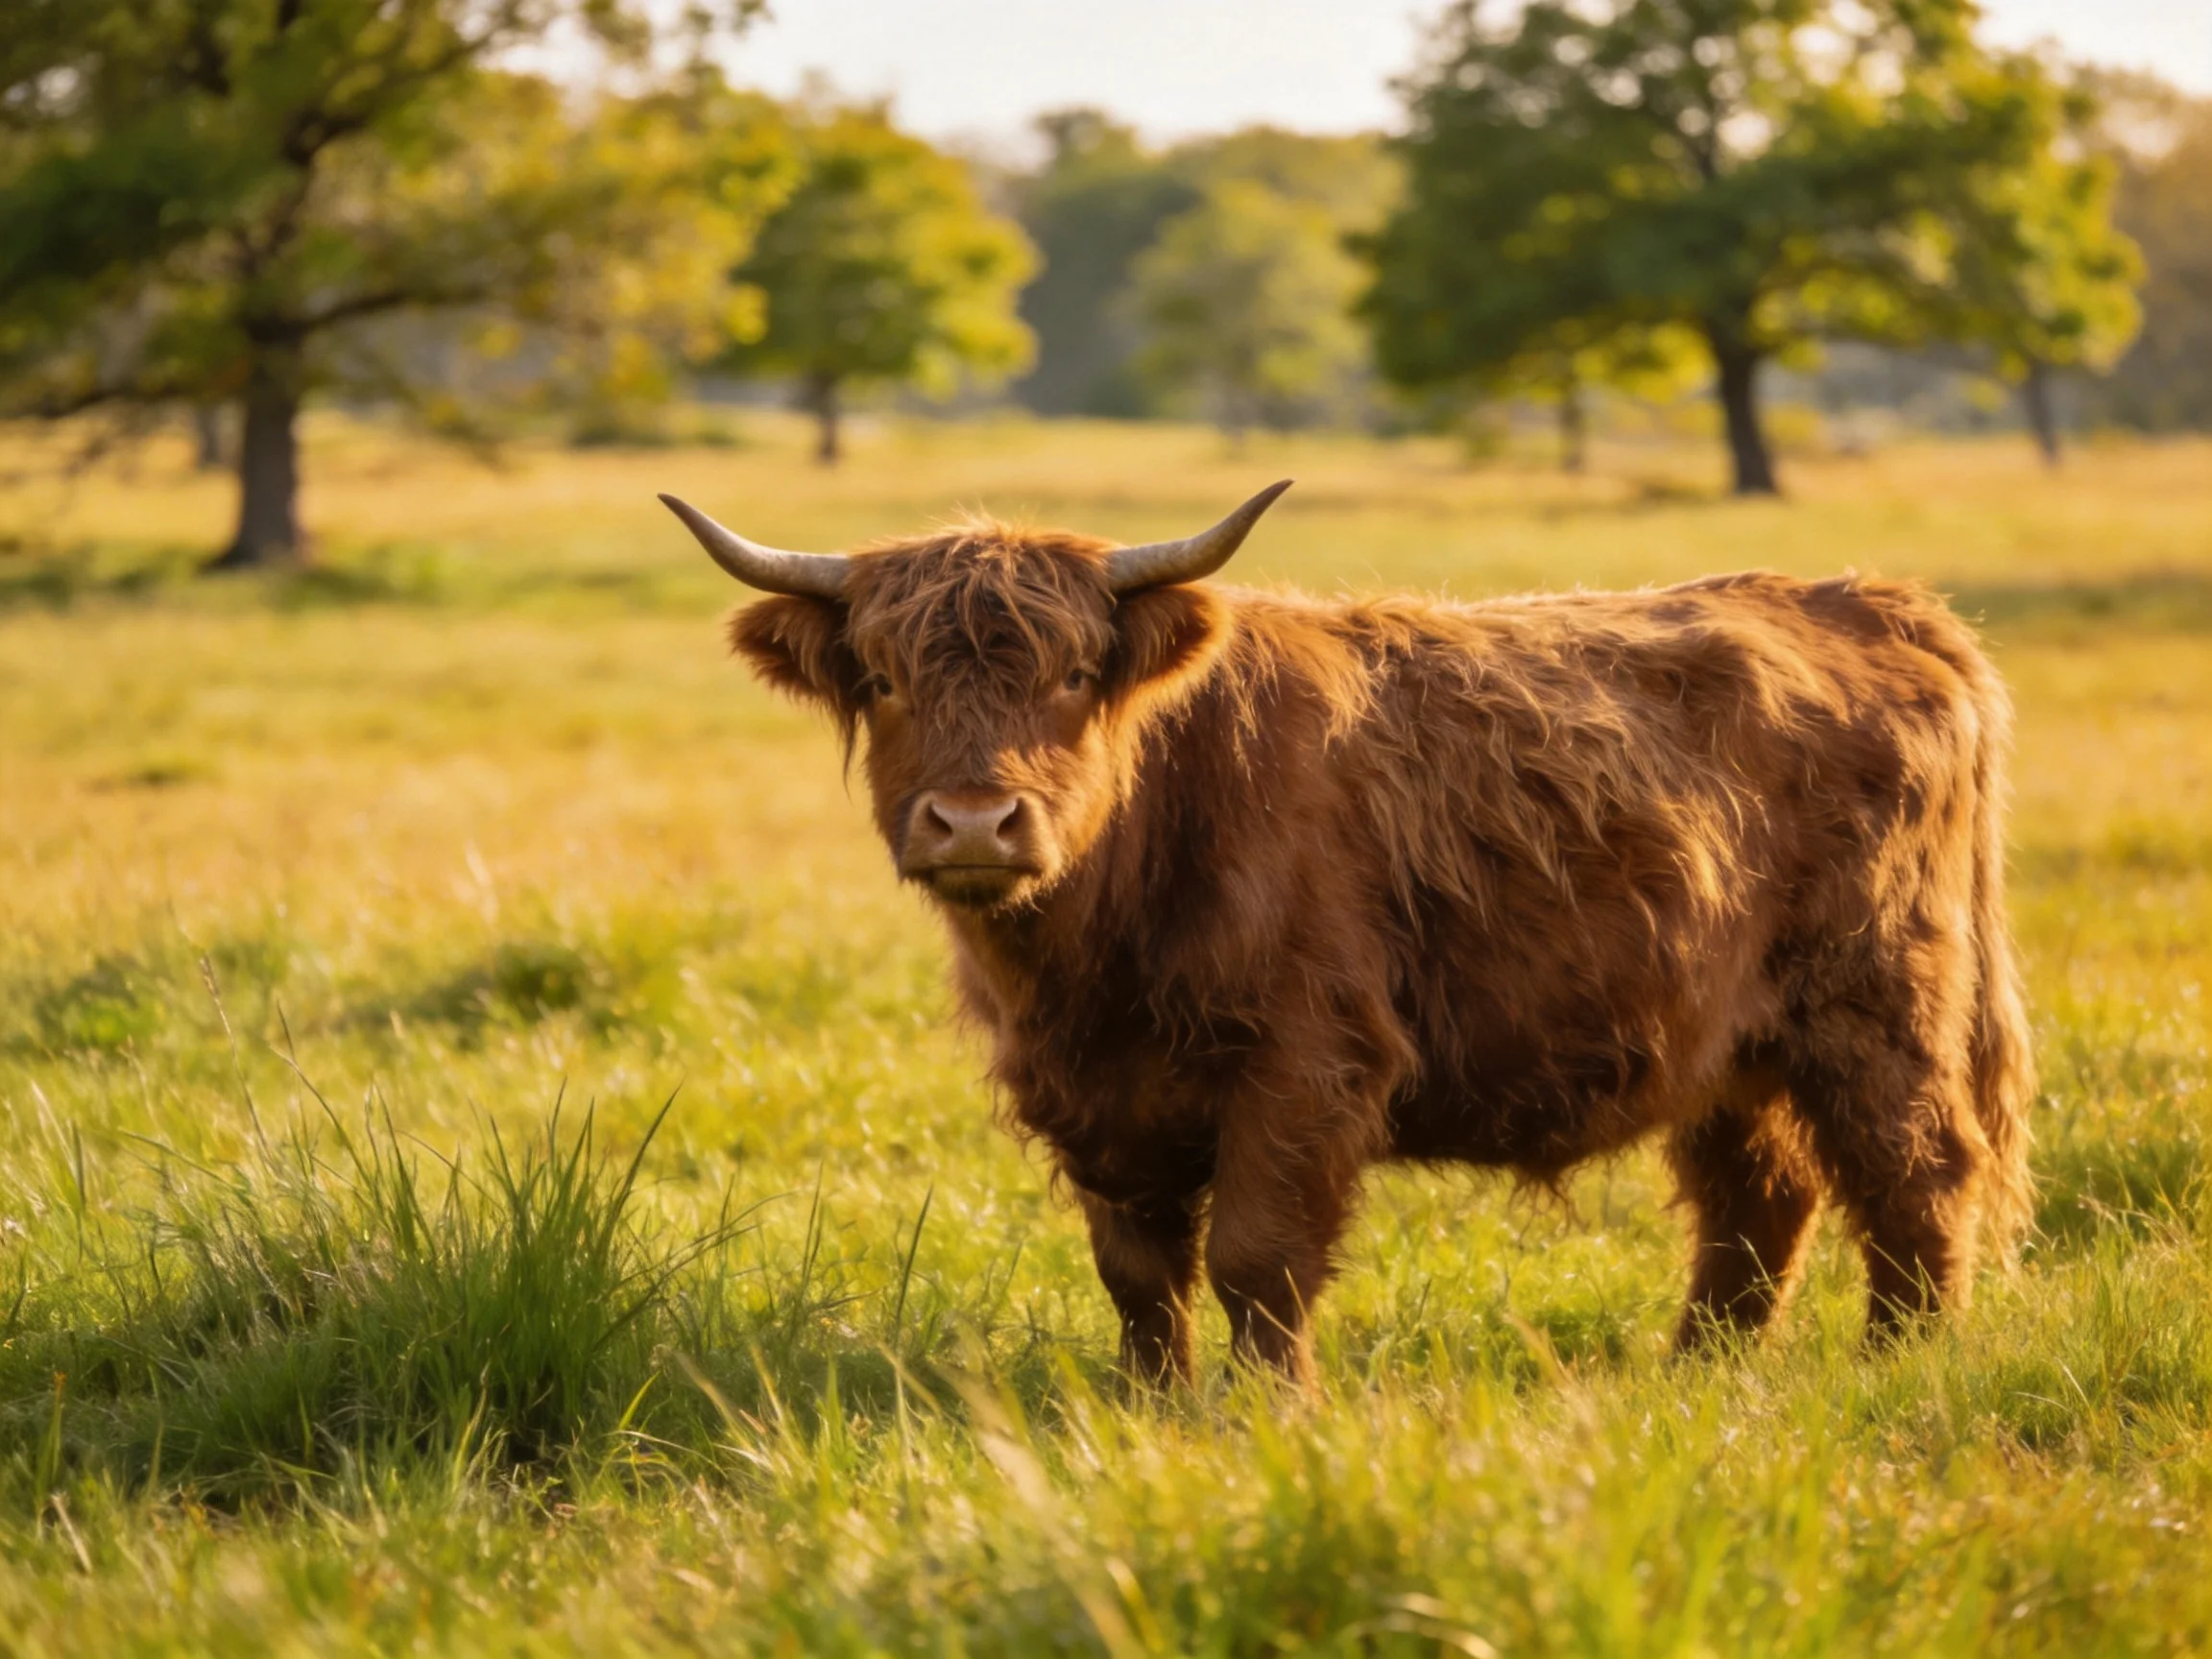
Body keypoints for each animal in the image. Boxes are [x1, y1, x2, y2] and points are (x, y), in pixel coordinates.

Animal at [661, 483, 2034, 1386]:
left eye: (1073, 675)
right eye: (885, 679)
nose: (974, 821)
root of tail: (1875, 603)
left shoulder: (1306, 1061)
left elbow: (1257, 1260)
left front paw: (1269, 1414)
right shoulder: (1093, 1092)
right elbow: (1138, 1273)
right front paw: (1149, 1413)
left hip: (1881, 1000)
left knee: (1916, 1170)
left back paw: (1903, 1365)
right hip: (1721, 1036)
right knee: (1759, 1194)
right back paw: (1697, 1374)